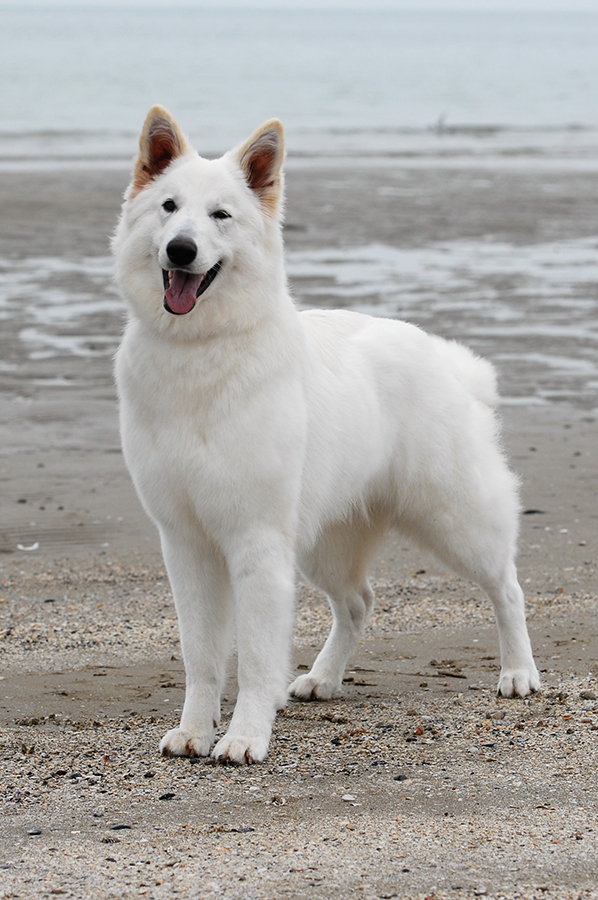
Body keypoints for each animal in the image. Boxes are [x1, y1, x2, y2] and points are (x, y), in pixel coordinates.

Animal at [113, 107, 544, 768]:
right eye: (168, 207)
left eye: (220, 215)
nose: (181, 249)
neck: (201, 354)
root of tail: (446, 359)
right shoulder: (187, 546)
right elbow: (202, 657)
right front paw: (194, 731)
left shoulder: (257, 543)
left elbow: (255, 657)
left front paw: (244, 737)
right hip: (324, 546)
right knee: (359, 602)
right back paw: (323, 677)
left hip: (455, 521)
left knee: (508, 587)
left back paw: (519, 672)